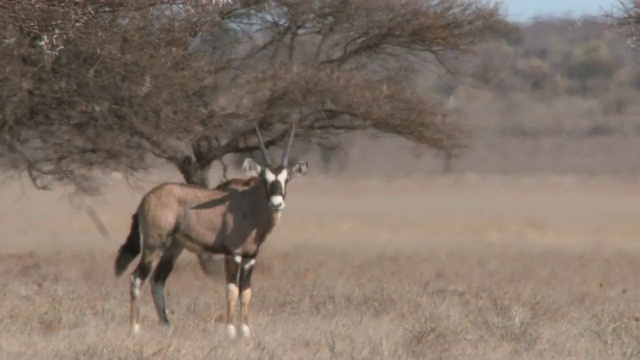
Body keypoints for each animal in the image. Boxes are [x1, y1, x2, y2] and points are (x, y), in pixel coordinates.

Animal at [114, 124, 308, 338]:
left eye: (286, 179)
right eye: (264, 179)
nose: (276, 204)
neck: (250, 203)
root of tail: (146, 198)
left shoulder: (250, 257)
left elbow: (246, 292)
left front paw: (246, 331)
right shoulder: (233, 254)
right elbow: (232, 290)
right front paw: (230, 330)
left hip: (173, 248)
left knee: (157, 281)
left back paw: (167, 325)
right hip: (154, 246)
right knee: (137, 278)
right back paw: (135, 328)